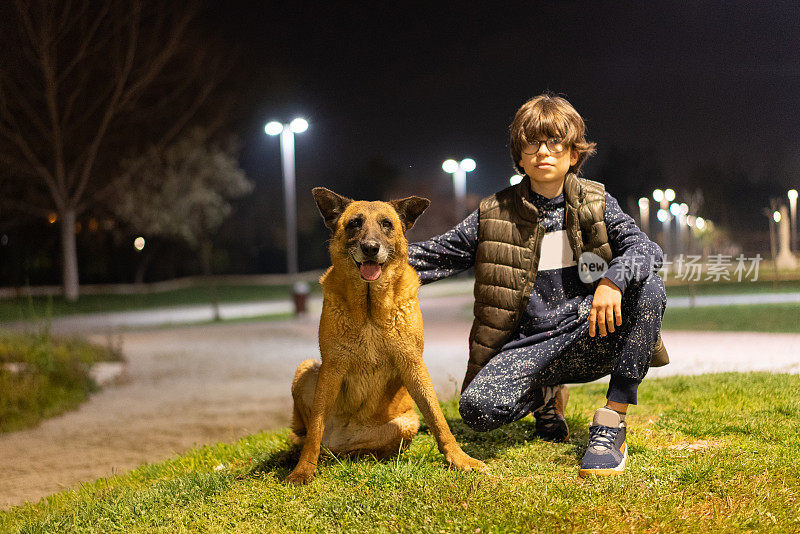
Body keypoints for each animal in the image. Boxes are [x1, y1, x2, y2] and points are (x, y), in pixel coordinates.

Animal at [288, 187, 488, 486]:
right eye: (354, 223)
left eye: (386, 224)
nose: (371, 248)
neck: (370, 307)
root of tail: (343, 439)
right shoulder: (332, 367)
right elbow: (314, 428)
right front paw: (303, 470)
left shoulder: (413, 364)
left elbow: (437, 418)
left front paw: (459, 459)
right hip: (307, 368)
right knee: (310, 436)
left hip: (406, 424)